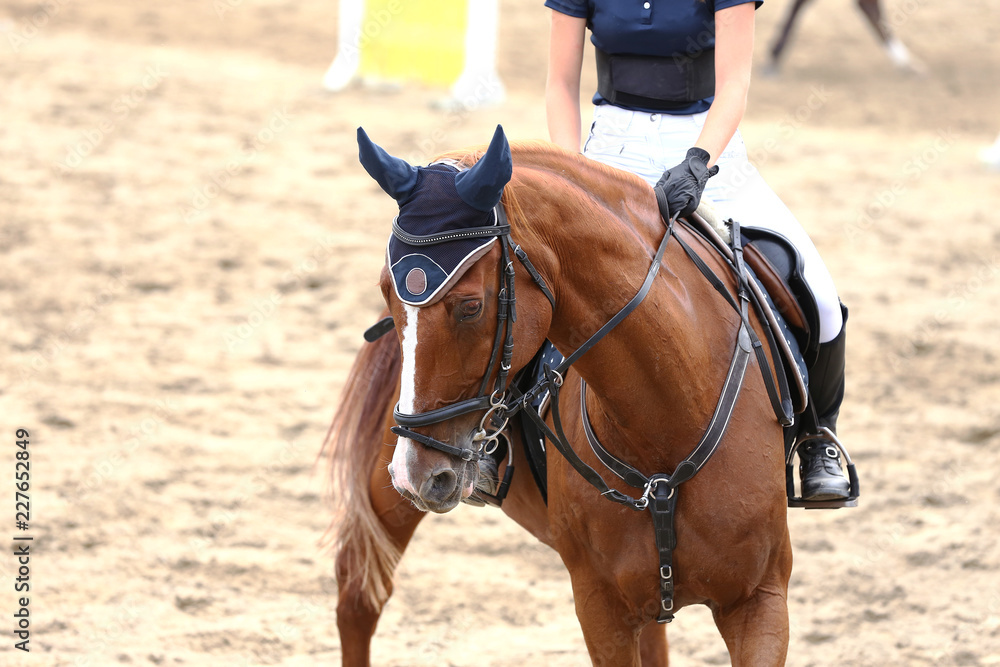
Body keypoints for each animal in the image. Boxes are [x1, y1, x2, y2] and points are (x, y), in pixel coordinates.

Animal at [328, 125, 793, 665]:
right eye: (387, 292)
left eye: (471, 306)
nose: (417, 475)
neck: (668, 418)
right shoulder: (600, 609)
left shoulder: (759, 600)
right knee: (360, 595)